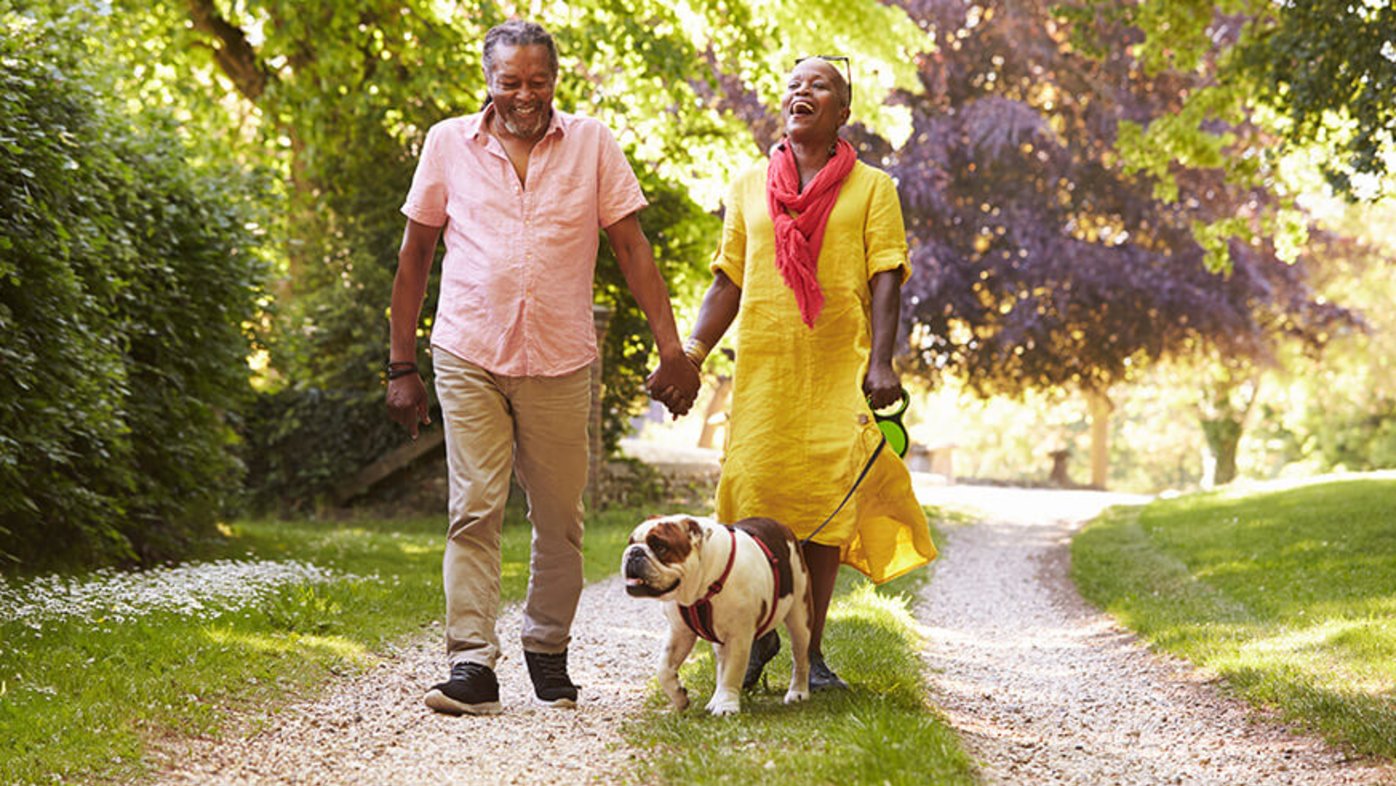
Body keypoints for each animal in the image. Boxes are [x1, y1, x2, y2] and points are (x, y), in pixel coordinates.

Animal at [625, 513, 815, 714]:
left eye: (660, 547)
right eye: (631, 542)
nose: (634, 552)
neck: (701, 588)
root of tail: (781, 526)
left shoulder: (738, 636)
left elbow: (732, 671)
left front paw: (726, 705)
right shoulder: (680, 632)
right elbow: (663, 668)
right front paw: (679, 697)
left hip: (800, 616)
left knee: (800, 656)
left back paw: (798, 692)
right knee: (721, 664)